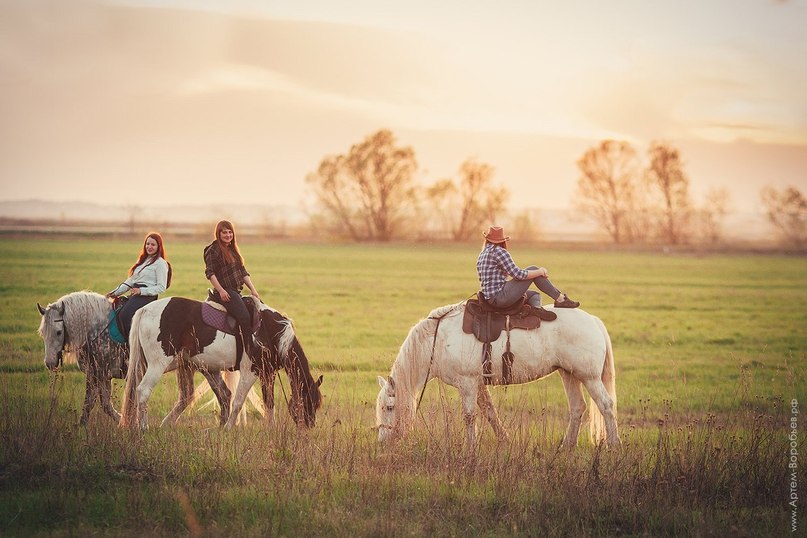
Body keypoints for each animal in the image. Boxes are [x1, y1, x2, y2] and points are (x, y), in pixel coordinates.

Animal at [37, 292, 232, 426]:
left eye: (58, 332)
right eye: (42, 333)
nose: (49, 363)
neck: (98, 329)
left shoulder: (96, 373)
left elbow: (92, 402)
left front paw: (84, 425)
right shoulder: (103, 375)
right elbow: (105, 403)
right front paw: (122, 421)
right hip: (196, 367)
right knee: (202, 394)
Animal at [120, 296, 322, 430]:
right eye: (308, 401)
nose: (308, 426)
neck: (272, 332)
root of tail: (145, 310)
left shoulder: (267, 373)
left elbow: (269, 403)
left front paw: (270, 429)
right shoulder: (250, 372)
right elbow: (239, 401)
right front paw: (228, 428)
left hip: (186, 366)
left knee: (189, 395)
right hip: (158, 365)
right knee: (143, 390)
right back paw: (143, 427)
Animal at [376, 302, 620, 448]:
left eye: (389, 407)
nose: (382, 441)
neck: (437, 342)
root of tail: (593, 320)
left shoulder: (467, 383)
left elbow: (470, 416)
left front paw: (470, 449)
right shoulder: (478, 384)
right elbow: (489, 412)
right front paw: (504, 440)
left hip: (589, 378)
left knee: (606, 406)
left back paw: (614, 444)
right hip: (568, 374)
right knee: (578, 407)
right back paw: (566, 447)